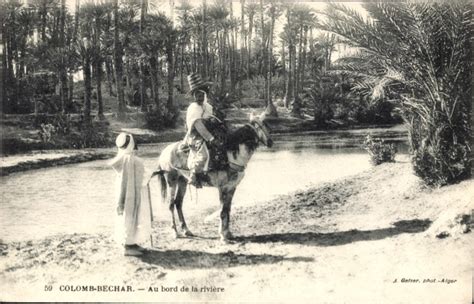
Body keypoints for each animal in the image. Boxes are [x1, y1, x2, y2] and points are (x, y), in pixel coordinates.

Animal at [155, 114, 274, 242]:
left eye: (266, 124)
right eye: (259, 125)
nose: (270, 142)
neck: (231, 155)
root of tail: (164, 152)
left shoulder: (232, 187)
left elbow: (227, 209)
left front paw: (228, 233)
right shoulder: (222, 187)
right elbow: (222, 211)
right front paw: (223, 236)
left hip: (183, 181)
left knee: (178, 203)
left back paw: (186, 230)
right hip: (171, 180)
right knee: (171, 205)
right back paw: (175, 232)